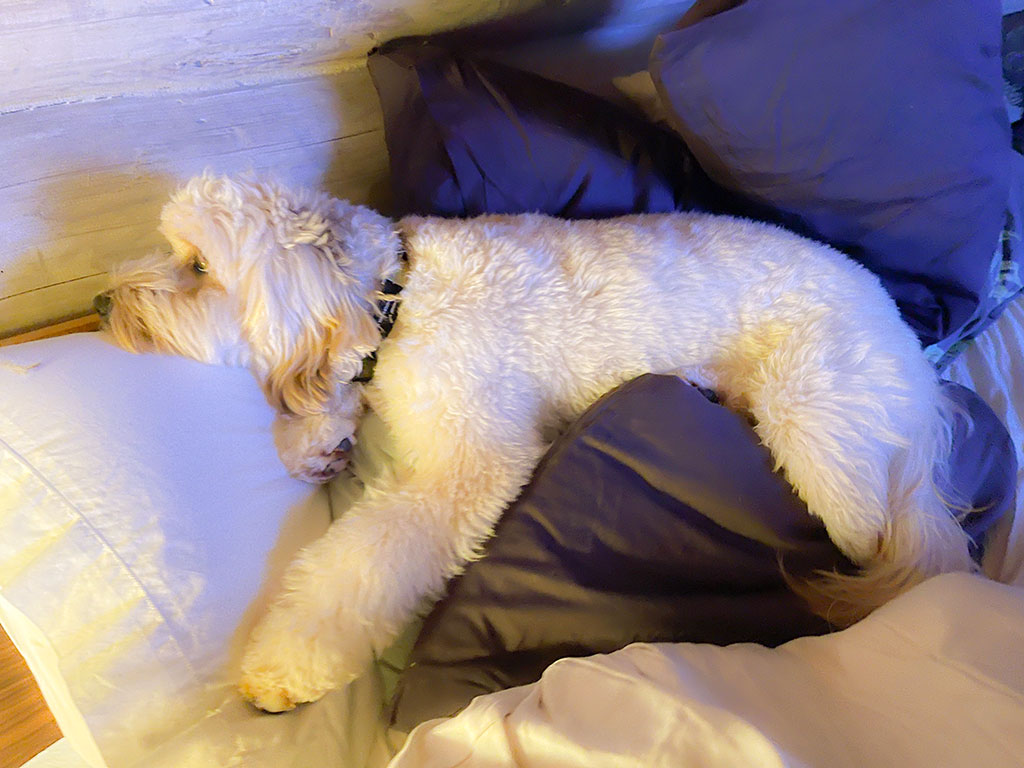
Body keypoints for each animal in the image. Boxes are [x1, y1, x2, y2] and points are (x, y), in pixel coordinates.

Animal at [97, 174, 974, 716]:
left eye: (197, 266)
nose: (103, 301)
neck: (397, 295)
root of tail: (914, 360)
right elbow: (333, 400)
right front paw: (316, 436)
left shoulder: (471, 458)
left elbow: (364, 562)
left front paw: (287, 661)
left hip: (817, 431)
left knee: (893, 552)